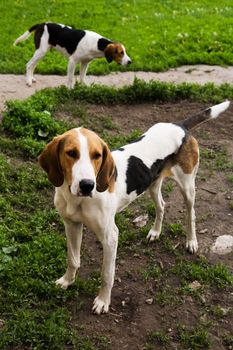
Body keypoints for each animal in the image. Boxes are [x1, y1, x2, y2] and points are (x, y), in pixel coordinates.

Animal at [38, 100, 229, 314]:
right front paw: (67, 281)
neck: (76, 199)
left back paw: (191, 241)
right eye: (71, 153)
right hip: (153, 184)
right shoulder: (71, 225)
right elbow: (73, 259)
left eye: (97, 155)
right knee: (162, 206)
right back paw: (155, 232)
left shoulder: (110, 237)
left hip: (187, 186)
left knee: (191, 214)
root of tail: (180, 125)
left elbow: (107, 275)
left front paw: (103, 301)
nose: (88, 185)